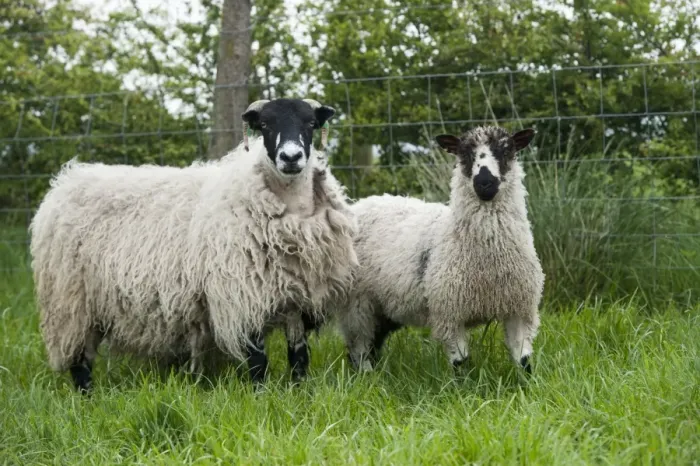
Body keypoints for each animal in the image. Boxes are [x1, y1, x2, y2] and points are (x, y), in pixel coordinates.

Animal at [29, 98, 358, 393]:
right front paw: (262, 397)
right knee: (79, 358)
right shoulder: (241, 295)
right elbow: (257, 359)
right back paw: (86, 397)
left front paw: (300, 393)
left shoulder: (297, 299)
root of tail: (65, 182)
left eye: (311, 123)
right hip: (71, 301)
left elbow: (299, 356)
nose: (291, 157)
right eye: (265, 125)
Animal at [335, 126, 543, 374]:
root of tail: (359, 205)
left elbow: (524, 361)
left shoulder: (520, 310)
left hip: (383, 304)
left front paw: (528, 383)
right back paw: (367, 376)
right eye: (465, 154)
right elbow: (461, 364)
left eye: (505, 150)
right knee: (359, 347)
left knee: (372, 342)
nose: (485, 183)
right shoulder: (449, 313)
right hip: (357, 303)